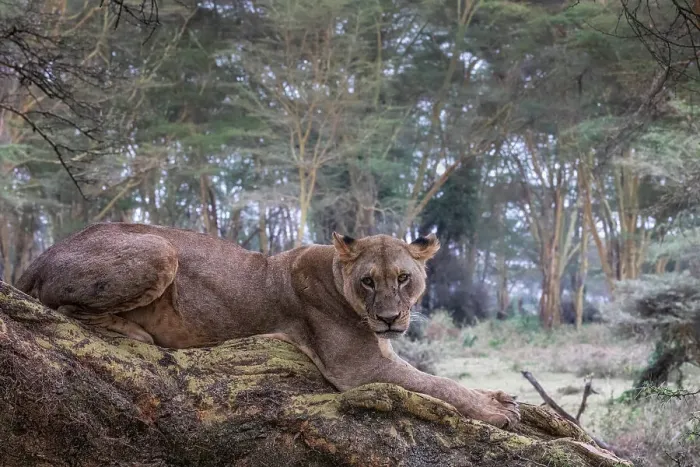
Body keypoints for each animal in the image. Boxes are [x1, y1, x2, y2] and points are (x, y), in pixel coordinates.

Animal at [16, 222, 519, 428]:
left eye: (403, 278)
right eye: (368, 281)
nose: (390, 318)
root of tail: (40, 254)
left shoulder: (382, 353)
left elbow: (438, 378)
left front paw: (499, 397)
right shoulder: (359, 370)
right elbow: (437, 385)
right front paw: (496, 412)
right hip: (161, 249)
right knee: (62, 307)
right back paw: (136, 331)